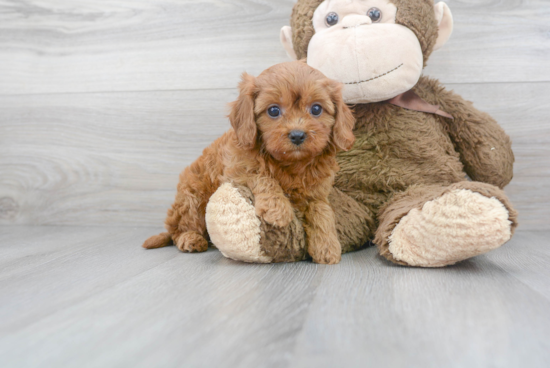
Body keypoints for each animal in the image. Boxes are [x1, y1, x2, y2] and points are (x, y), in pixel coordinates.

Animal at [144, 60, 356, 264]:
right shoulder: (236, 170)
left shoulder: (317, 192)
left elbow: (322, 212)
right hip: (193, 199)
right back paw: (190, 239)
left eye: (316, 109)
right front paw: (278, 209)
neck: (290, 164)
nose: (297, 135)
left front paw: (328, 246)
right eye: (273, 110)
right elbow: (261, 176)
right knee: (179, 229)